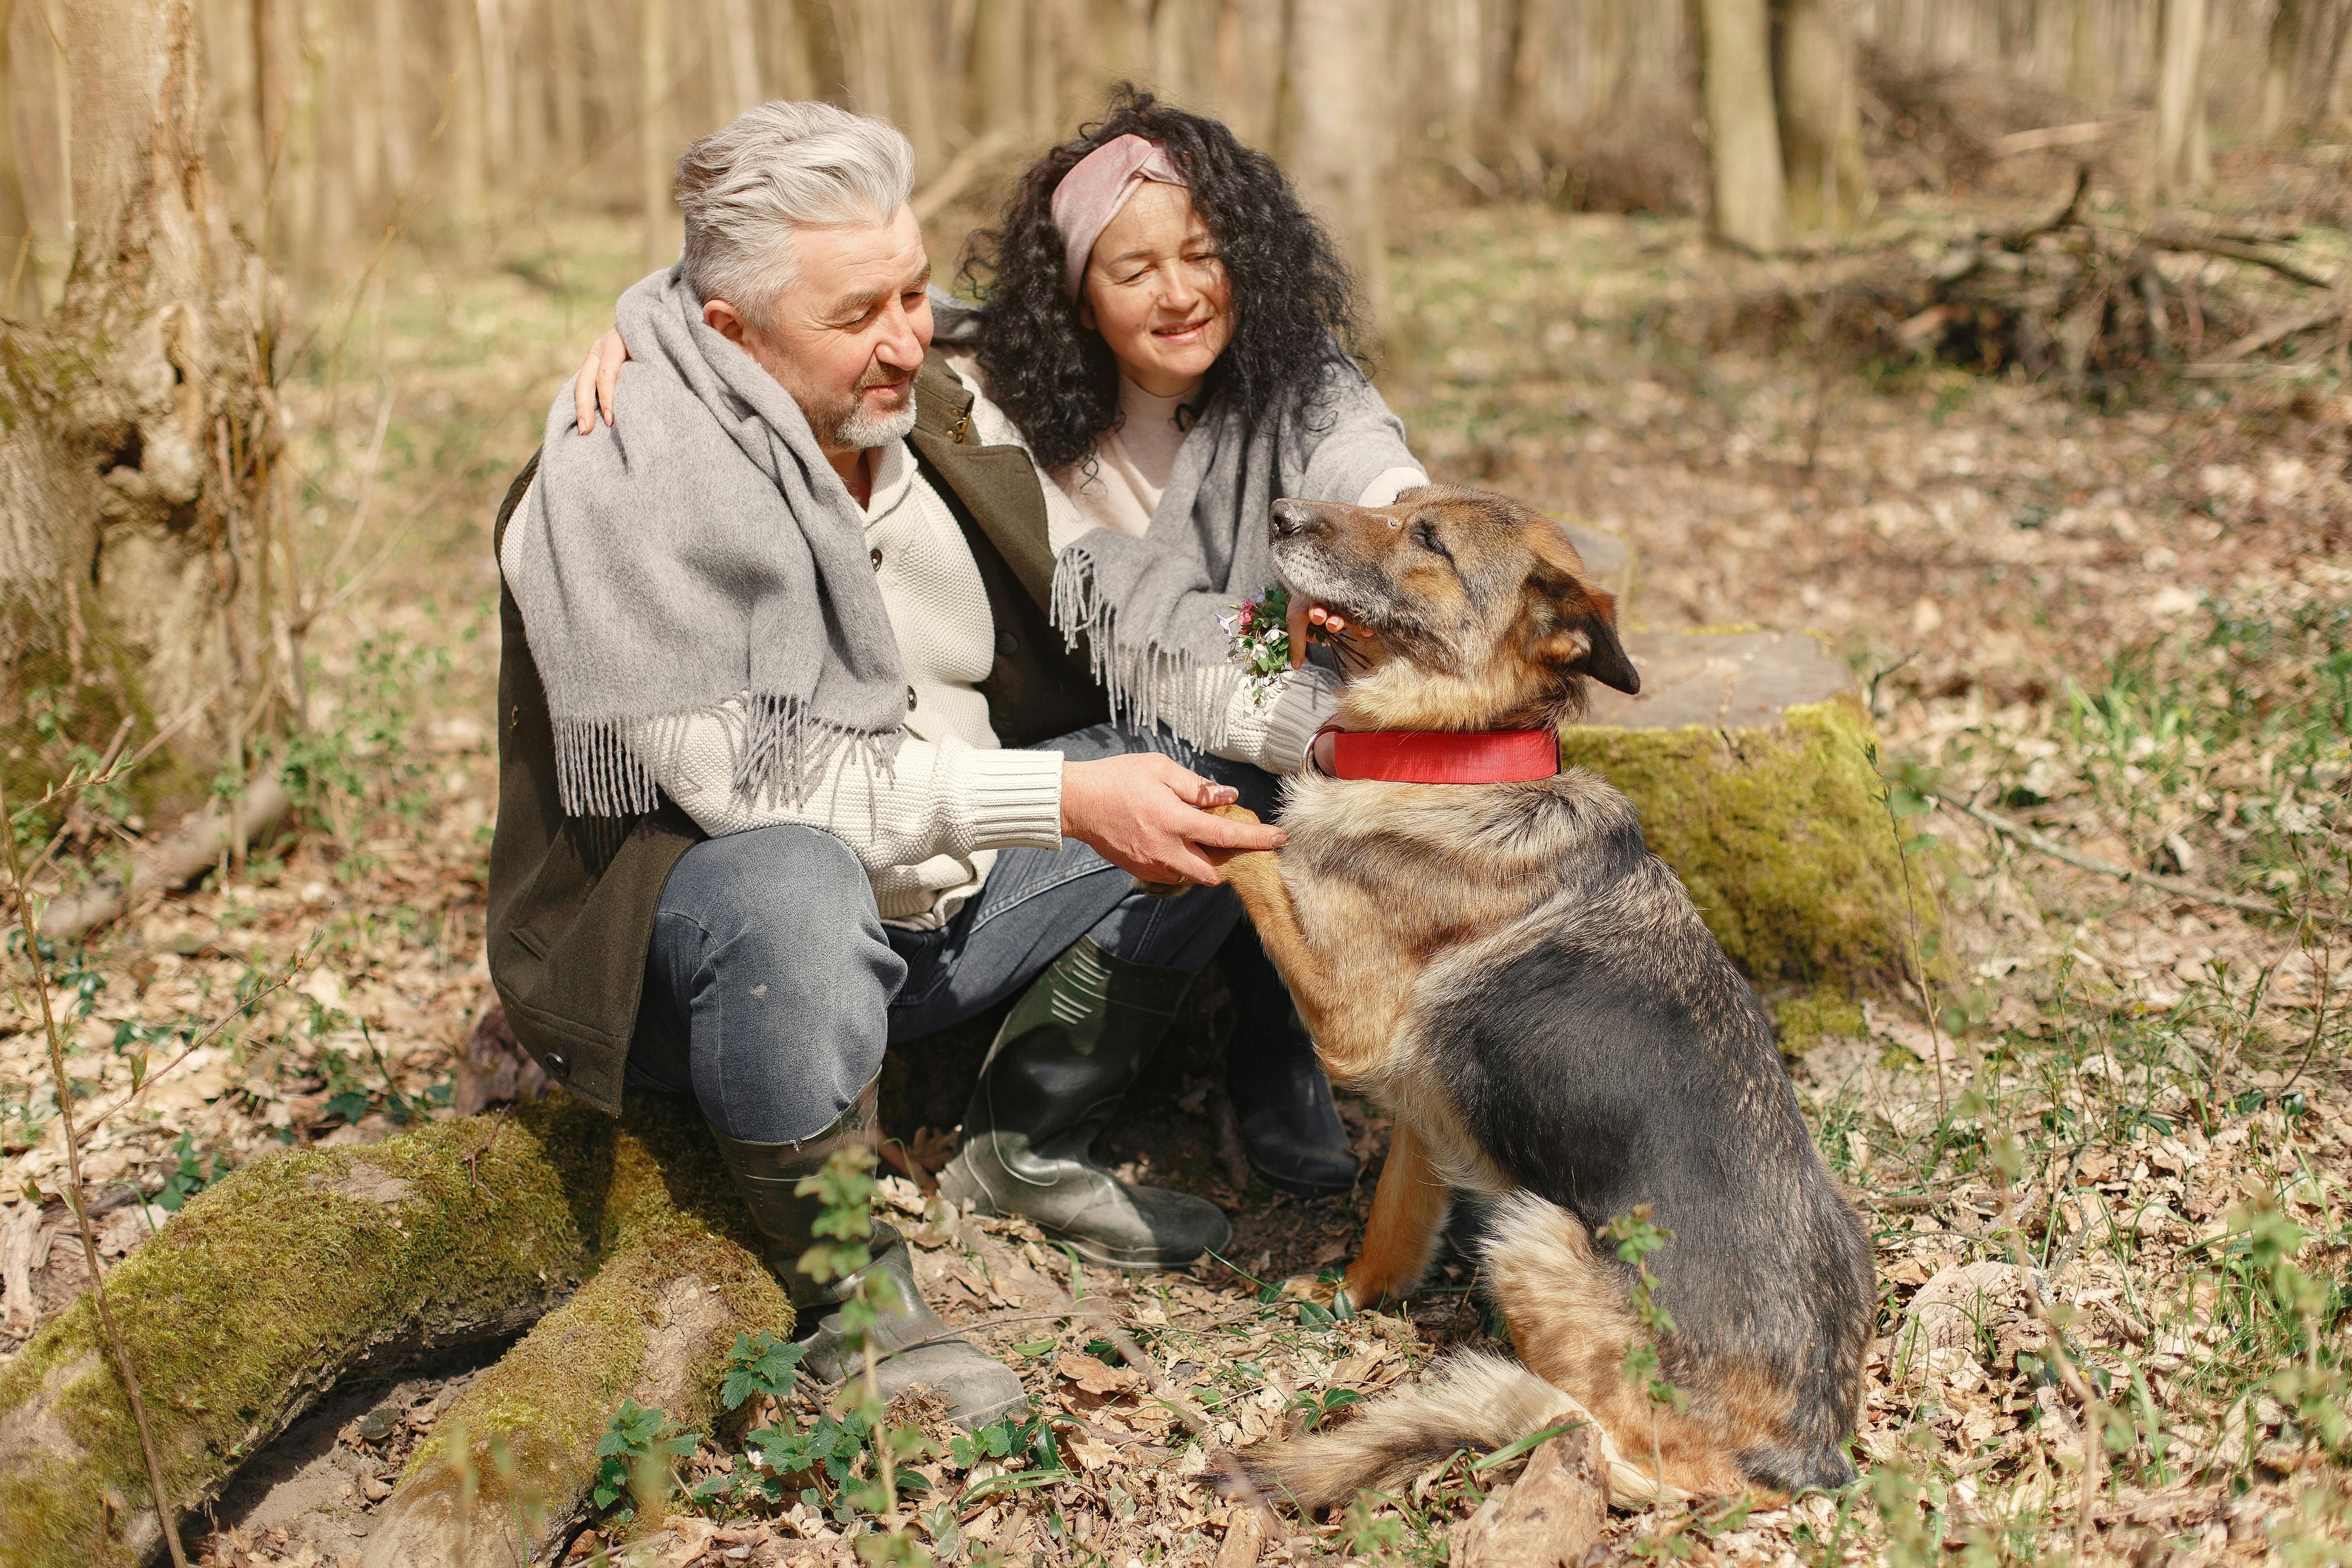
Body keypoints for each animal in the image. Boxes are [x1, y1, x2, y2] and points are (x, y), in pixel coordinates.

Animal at [1214, 486, 1872, 1504]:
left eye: (1428, 540)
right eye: (1399, 502)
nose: (1279, 513)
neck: (1458, 762)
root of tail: (1803, 1457)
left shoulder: (1345, 1024)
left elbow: (1248, 846)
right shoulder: (1426, 1119)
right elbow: (1389, 1236)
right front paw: (1347, 1297)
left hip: (1531, 1230)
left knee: (1611, 1448)